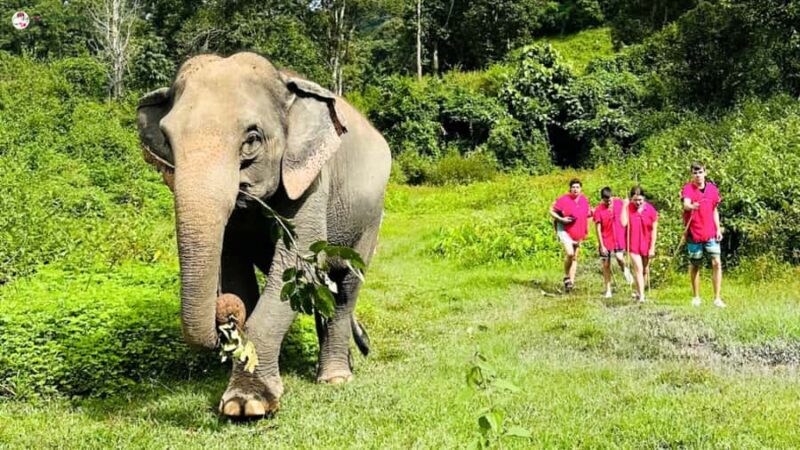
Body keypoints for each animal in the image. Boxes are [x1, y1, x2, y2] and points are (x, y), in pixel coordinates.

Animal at [136, 52, 391, 418]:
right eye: (167, 140)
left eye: (252, 139)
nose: (226, 312)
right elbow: (235, 273)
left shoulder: (313, 181)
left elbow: (297, 267)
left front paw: (248, 404)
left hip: (371, 219)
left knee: (344, 288)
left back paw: (335, 379)